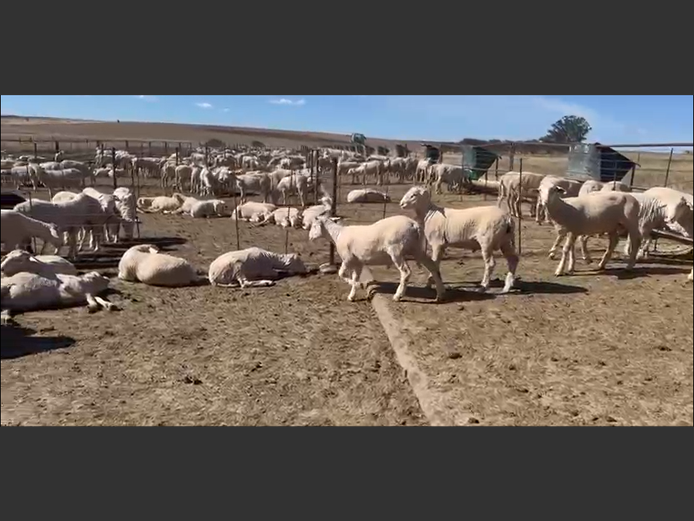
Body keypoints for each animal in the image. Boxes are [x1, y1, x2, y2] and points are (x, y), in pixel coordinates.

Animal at [308, 214, 446, 302]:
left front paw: (359, 285)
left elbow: (341, 274)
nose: (310, 237)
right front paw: (352, 295)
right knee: (433, 267)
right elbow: (354, 276)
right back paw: (440, 294)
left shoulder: (347, 259)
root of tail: (414, 225)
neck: (337, 234)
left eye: (314, 226)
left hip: (396, 250)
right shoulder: (357, 262)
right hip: (417, 249)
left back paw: (398, 295)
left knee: (406, 272)